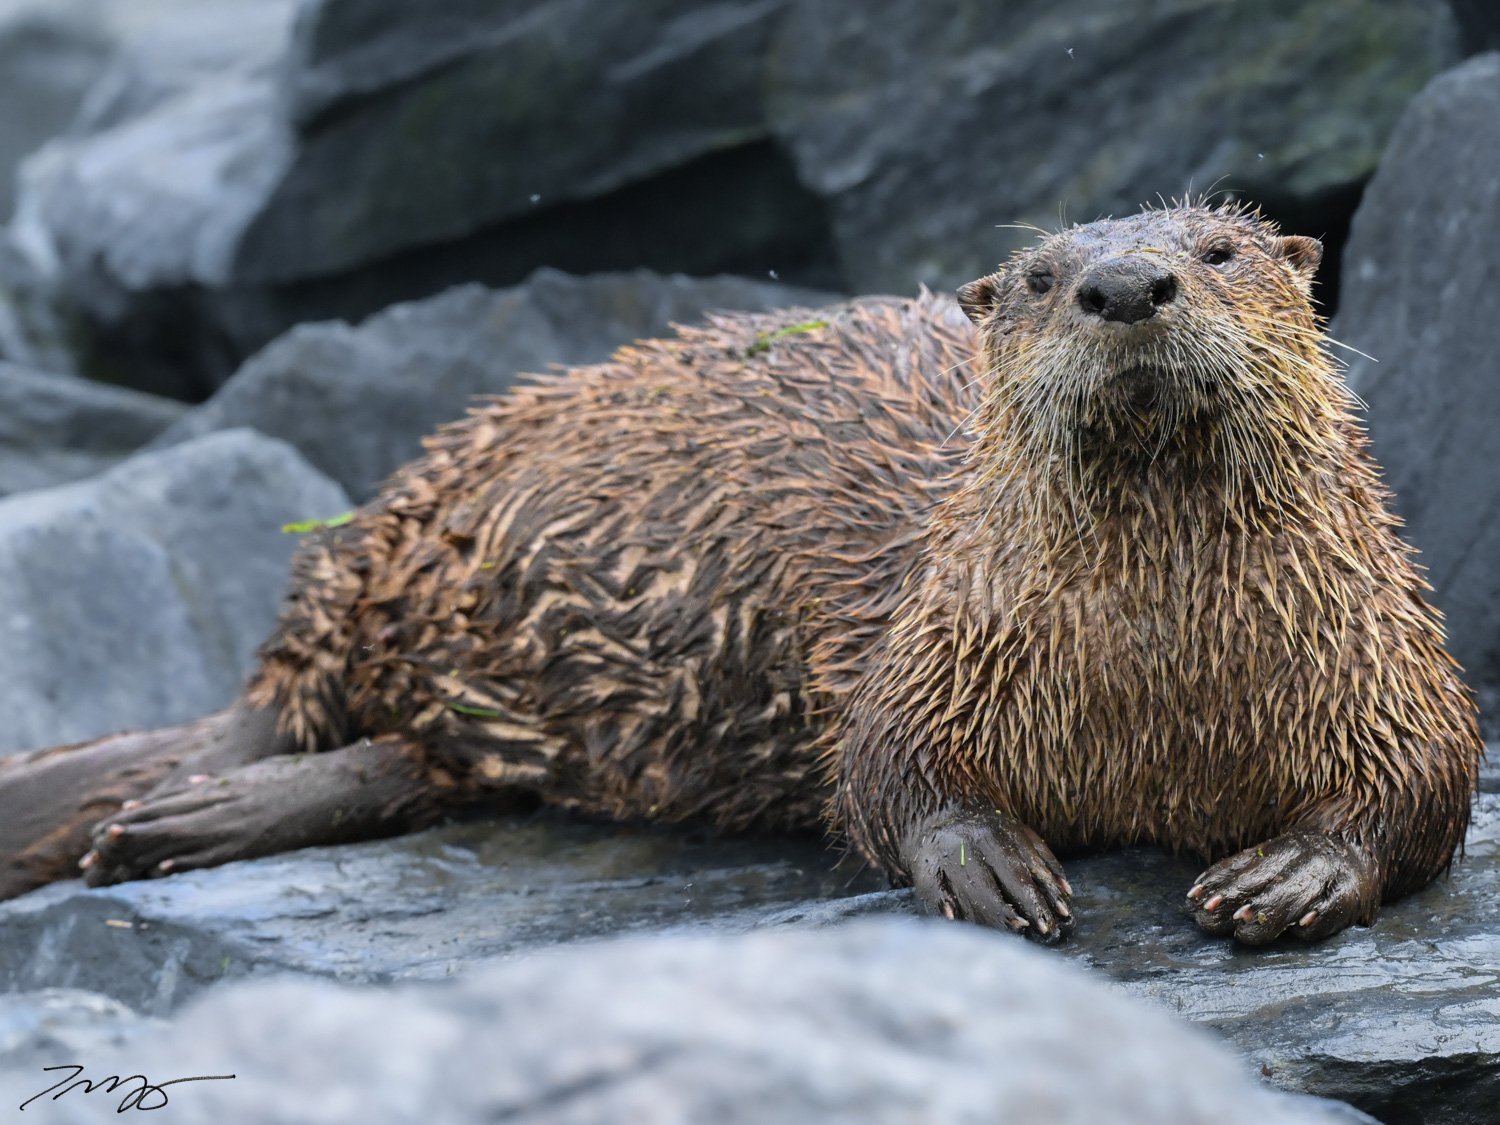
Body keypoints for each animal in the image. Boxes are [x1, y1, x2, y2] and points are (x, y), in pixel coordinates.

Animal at [0, 203, 1480, 945]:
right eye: (1044, 275)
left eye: (1219, 251)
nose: (1124, 285)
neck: (1158, 682)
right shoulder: (932, 639)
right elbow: (884, 767)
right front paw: (989, 866)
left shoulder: (1384, 651)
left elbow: (1428, 781)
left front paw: (1293, 875)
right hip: (402, 532)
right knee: (306, 701)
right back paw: (168, 819)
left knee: (403, 757)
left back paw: (173, 822)